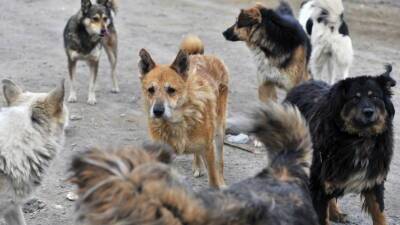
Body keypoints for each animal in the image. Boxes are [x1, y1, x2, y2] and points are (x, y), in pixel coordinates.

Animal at [138, 35, 228, 188]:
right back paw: (198, 166)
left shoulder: (208, 148)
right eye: (151, 90)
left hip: (219, 131)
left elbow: (213, 178)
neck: (178, 121)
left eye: (171, 90)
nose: (157, 111)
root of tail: (200, 55)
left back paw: (222, 181)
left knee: (220, 162)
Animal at [286, 64, 396, 224]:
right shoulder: (319, 184)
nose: (368, 112)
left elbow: (379, 214)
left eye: (374, 96)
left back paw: (335, 213)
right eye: (355, 98)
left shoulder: (374, 180)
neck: (359, 138)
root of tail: (303, 84)